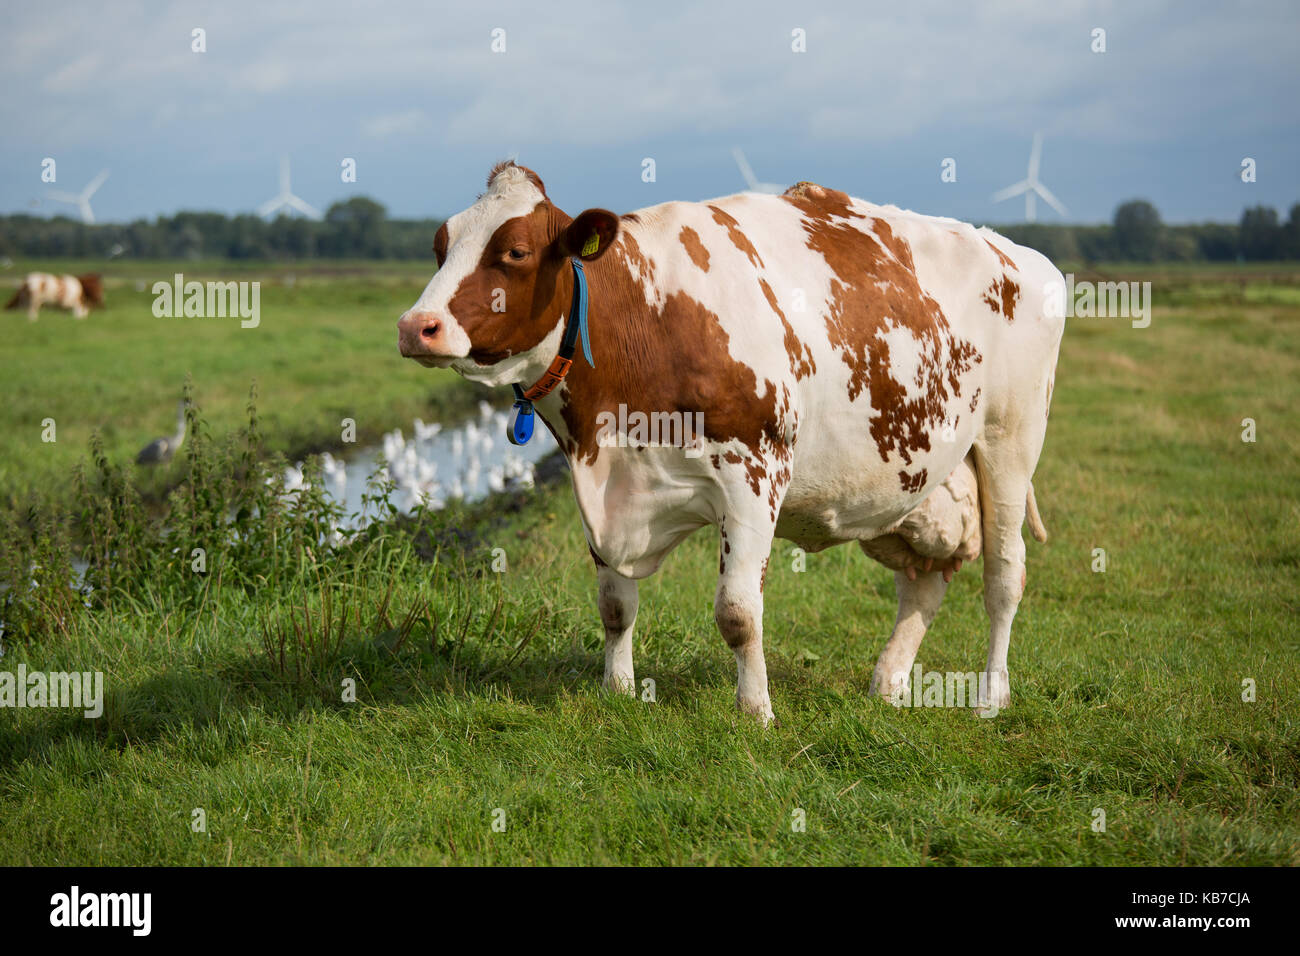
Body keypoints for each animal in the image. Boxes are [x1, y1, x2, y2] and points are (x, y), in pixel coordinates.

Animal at [398, 162, 1064, 723]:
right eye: (439, 247)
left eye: (514, 251)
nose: (415, 327)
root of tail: (1019, 253)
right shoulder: (599, 486)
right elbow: (615, 604)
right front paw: (617, 692)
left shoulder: (753, 476)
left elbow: (738, 613)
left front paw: (756, 713)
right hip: (913, 479)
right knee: (925, 577)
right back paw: (890, 681)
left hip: (1011, 441)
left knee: (1005, 575)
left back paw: (990, 696)